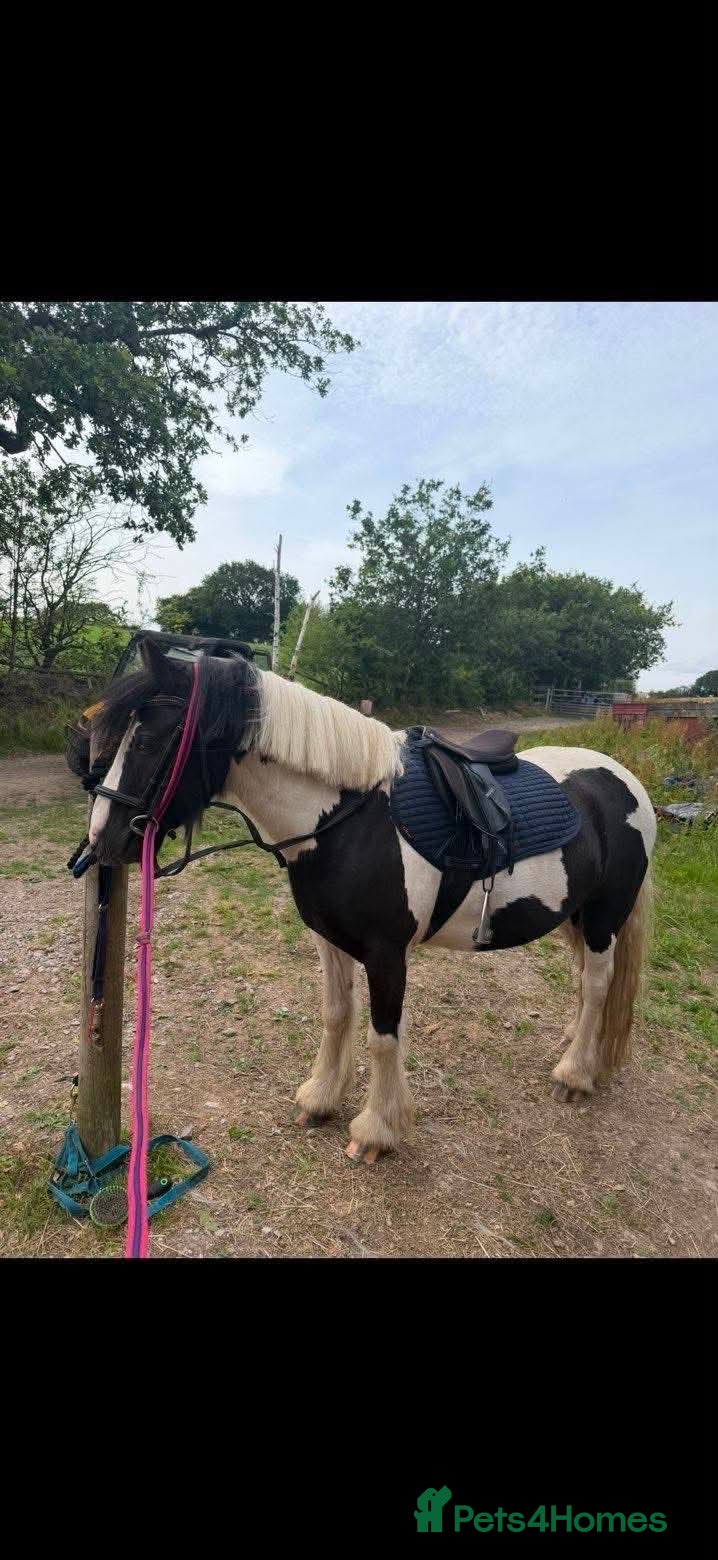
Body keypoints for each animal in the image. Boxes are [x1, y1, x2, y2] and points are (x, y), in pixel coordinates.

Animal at [86, 639, 656, 1166]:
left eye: (149, 738)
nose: (99, 842)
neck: (348, 819)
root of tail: (625, 779)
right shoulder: (329, 940)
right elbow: (337, 1013)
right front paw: (319, 1099)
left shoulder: (387, 955)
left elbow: (383, 1038)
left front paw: (376, 1131)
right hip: (574, 915)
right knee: (586, 982)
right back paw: (576, 1042)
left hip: (603, 917)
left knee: (598, 984)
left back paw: (575, 1073)